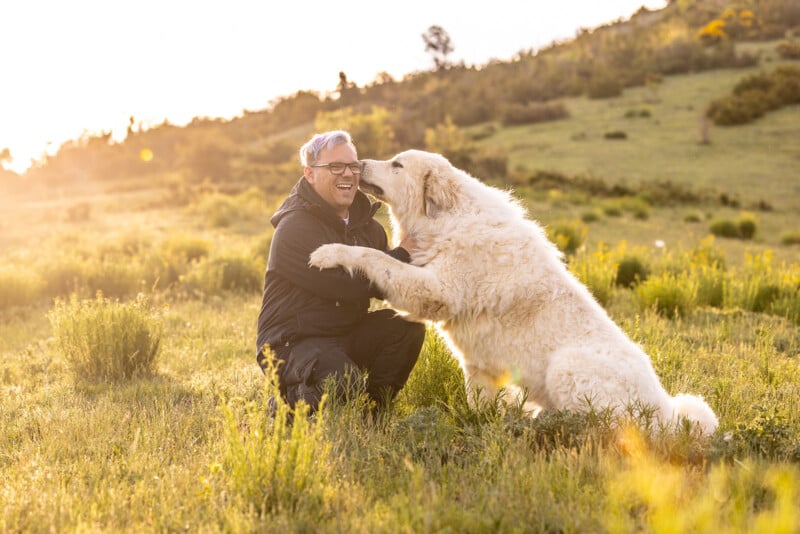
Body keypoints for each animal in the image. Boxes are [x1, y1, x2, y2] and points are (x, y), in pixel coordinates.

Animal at [310, 150, 720, 436]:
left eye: (397, 164)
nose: (359, 163)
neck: (448, 219)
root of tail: (667, 416)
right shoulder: (480, 367)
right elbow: (477, 405)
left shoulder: (436, 289)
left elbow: (374, 257)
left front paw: (330, 252)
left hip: (567, 366)